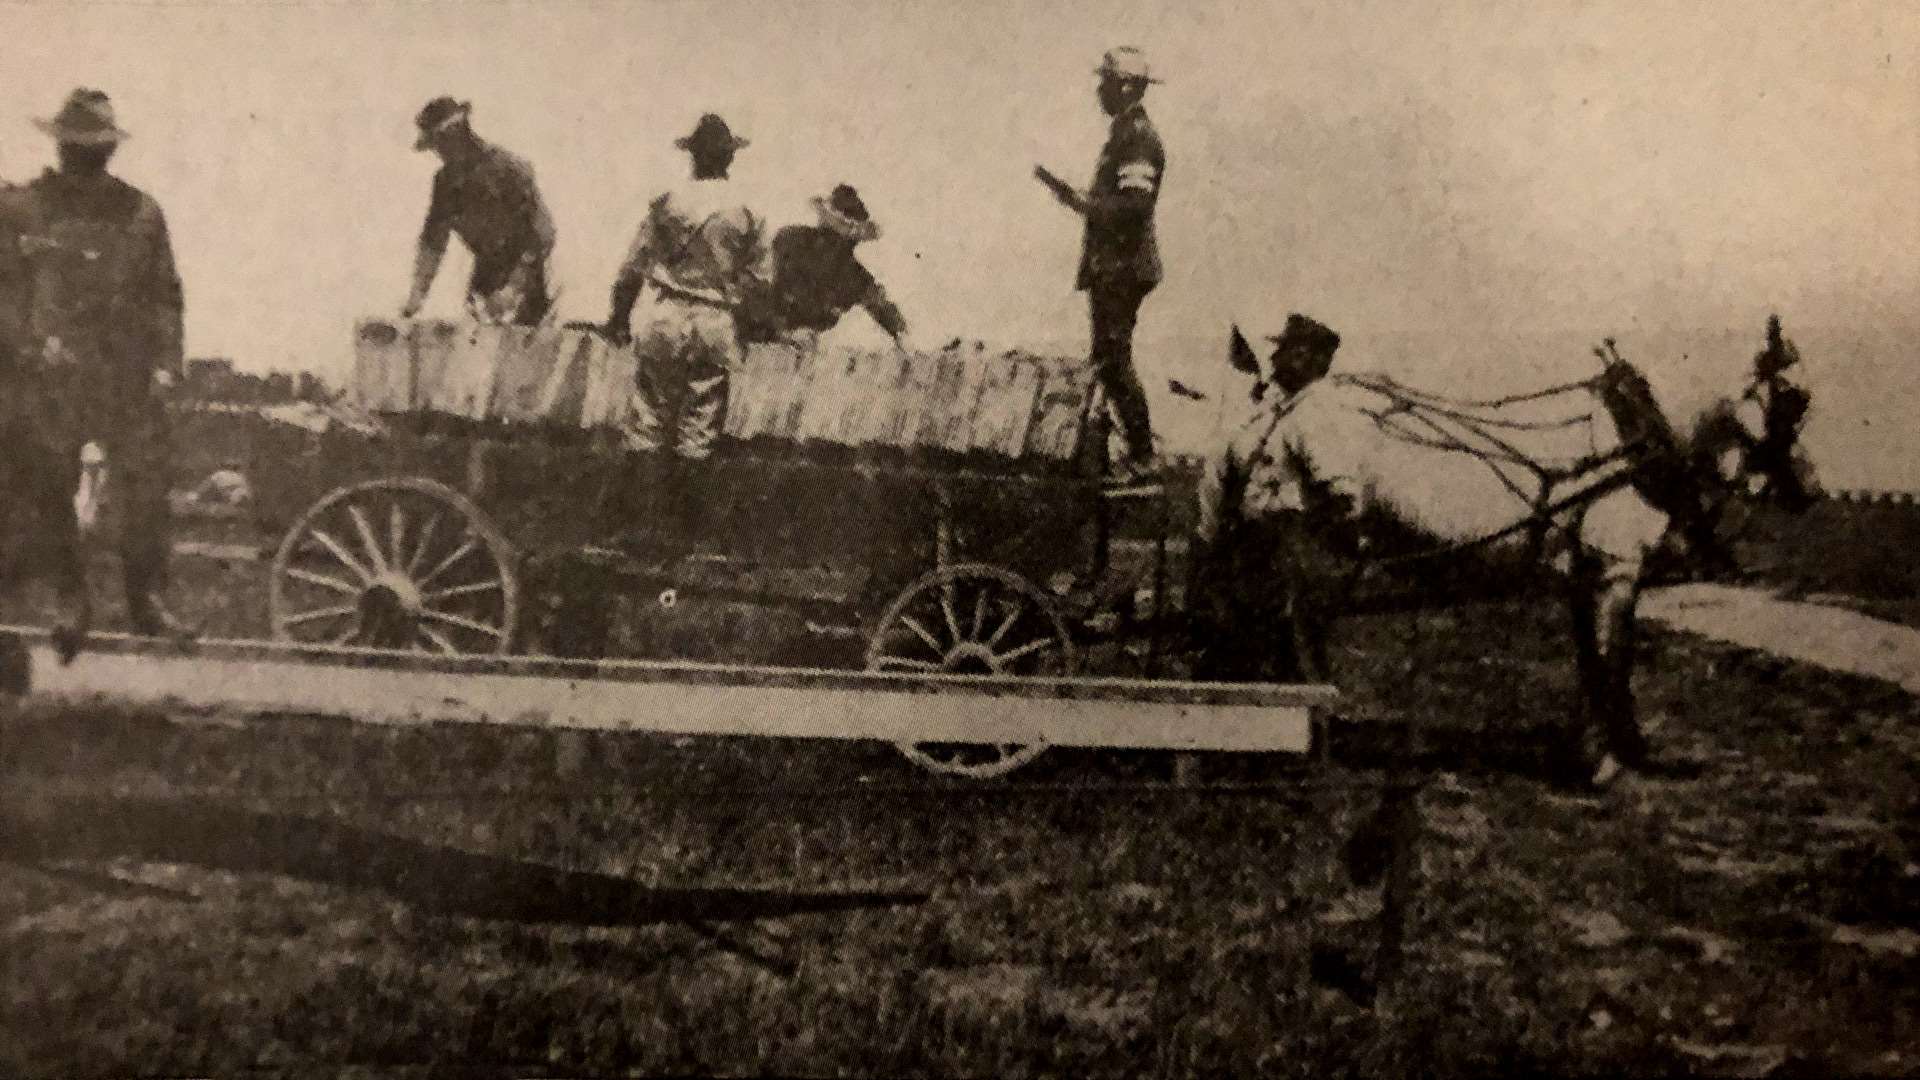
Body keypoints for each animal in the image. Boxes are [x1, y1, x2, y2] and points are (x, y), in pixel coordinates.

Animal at [1198, 319, 1812, 780]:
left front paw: (1596, 750)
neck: (1631, 441)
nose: (1807, 489)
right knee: (1295, 623)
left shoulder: (1583, 576)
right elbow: (1615, 660)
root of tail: (1282, 414)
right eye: (1795, 398)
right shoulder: (1617, 571)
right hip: (1305, 538)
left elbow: (1592, 662)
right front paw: (1611, 760)